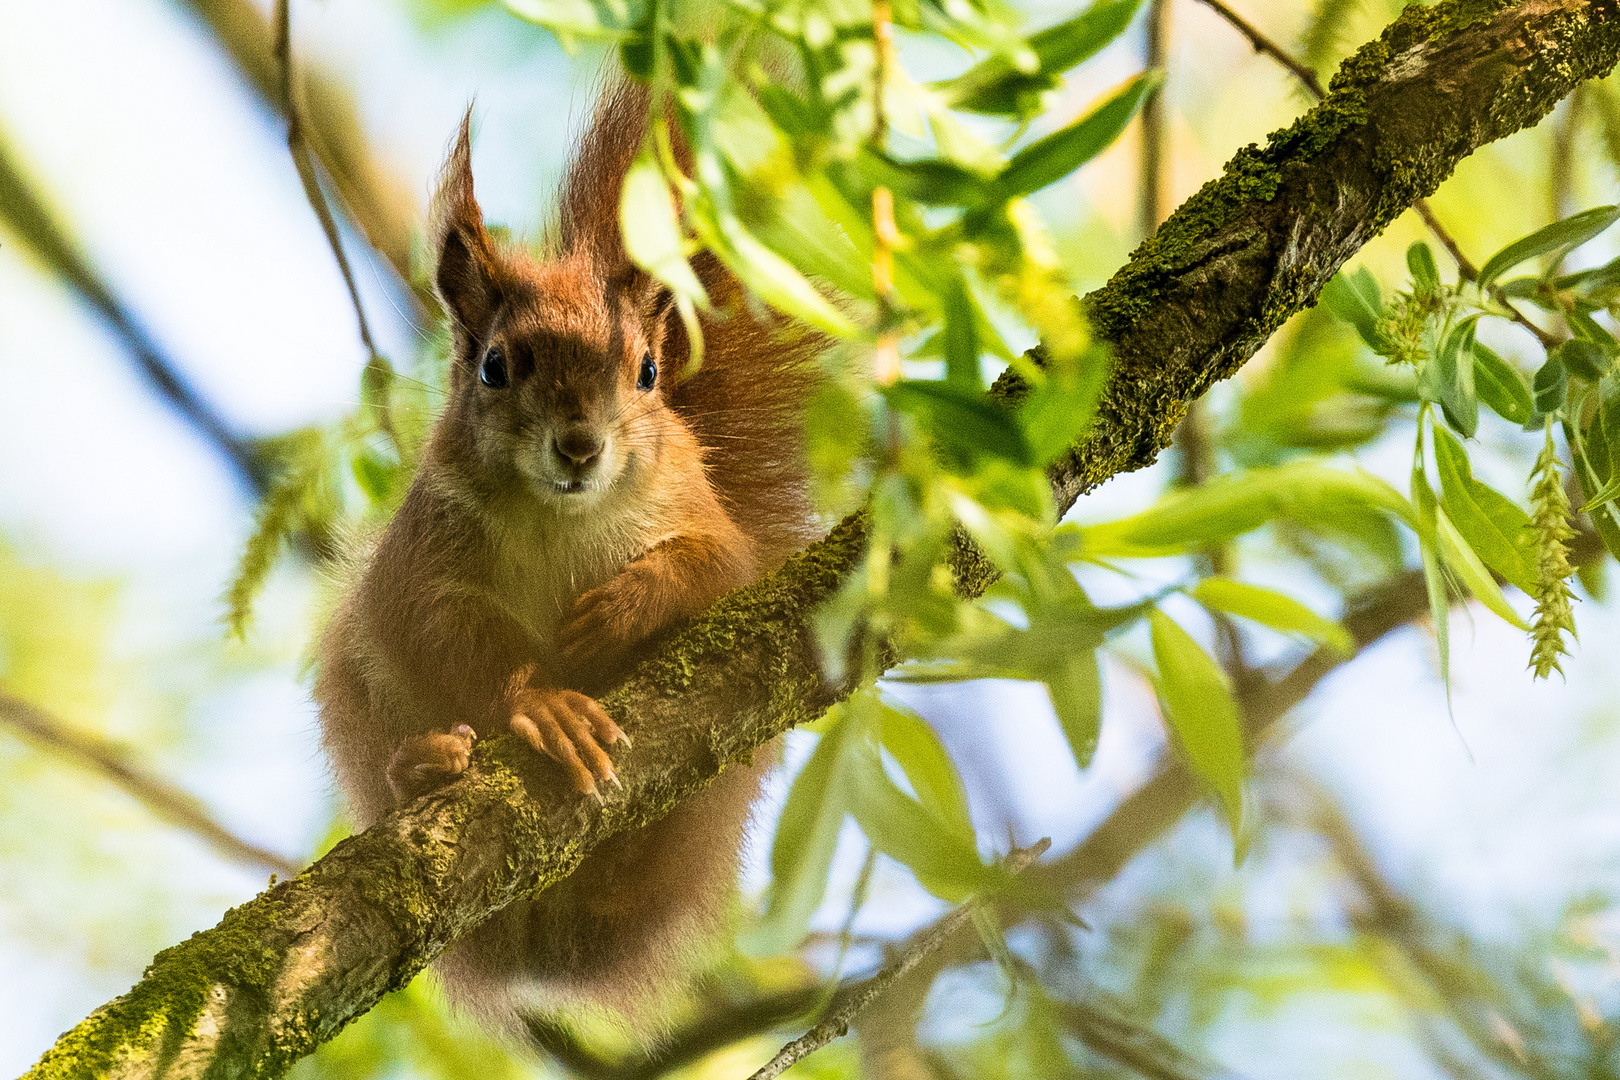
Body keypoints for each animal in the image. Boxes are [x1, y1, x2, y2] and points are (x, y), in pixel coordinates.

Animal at [312, 82, 822, 1029]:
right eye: (494, 367)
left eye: (650, 371)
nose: (580, 448)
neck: (563, 518)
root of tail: (546, 947)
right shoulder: (423, 555)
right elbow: (441, 629)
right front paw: (543, 701)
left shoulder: (706, 522)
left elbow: (718, 570)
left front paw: (626, 607)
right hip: (358, 695)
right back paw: (422, 769)